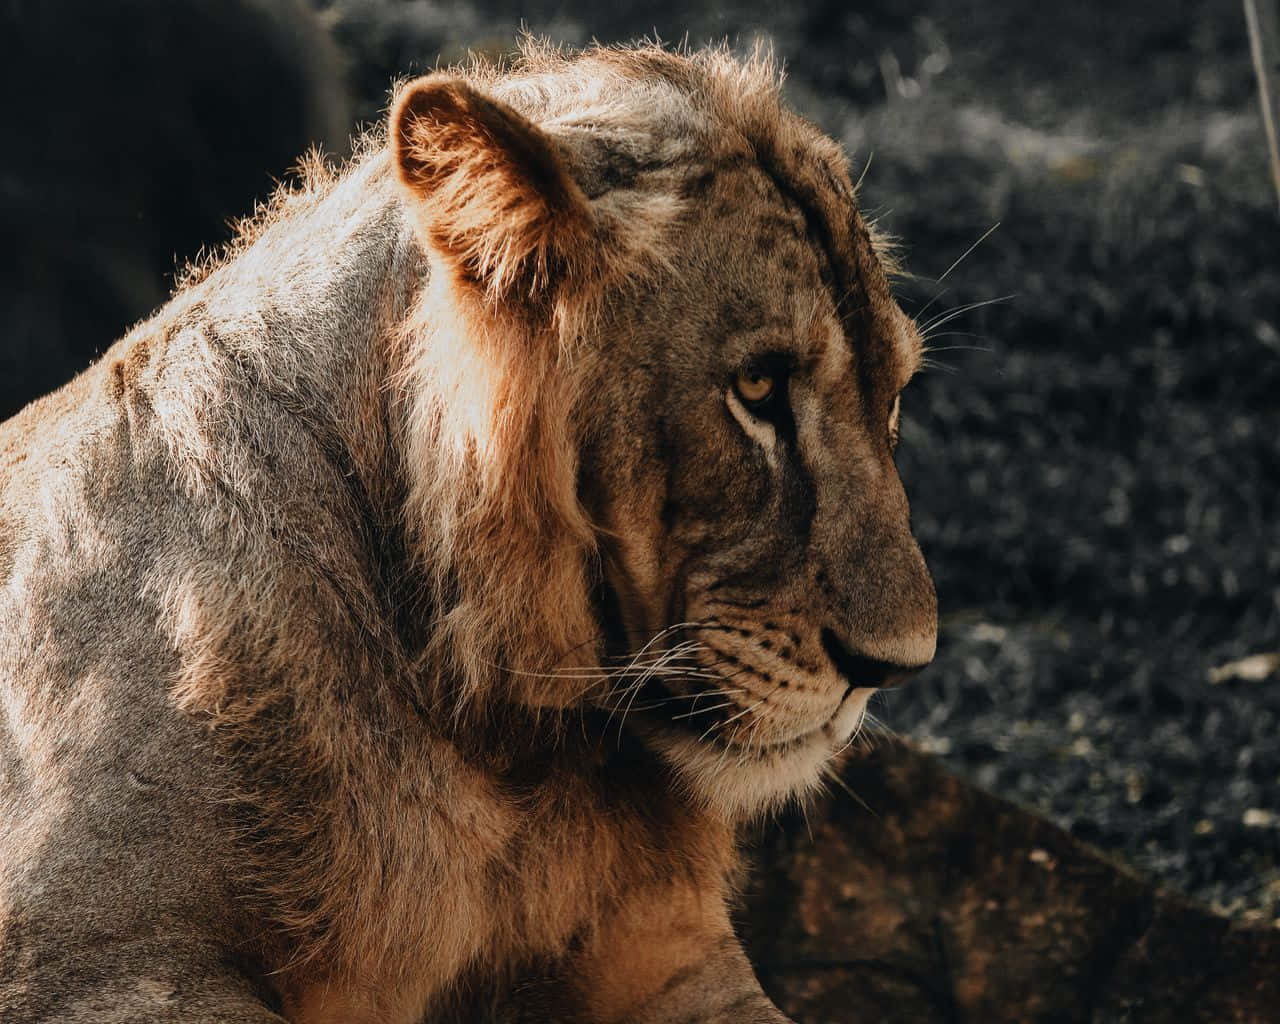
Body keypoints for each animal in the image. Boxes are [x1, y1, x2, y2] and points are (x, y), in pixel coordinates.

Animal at [0, 41, 936, 1024]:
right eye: (757, 388)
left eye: (894, 396)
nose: (896, 668)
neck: (495, 734)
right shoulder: (81, 950)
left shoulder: (663, 947)